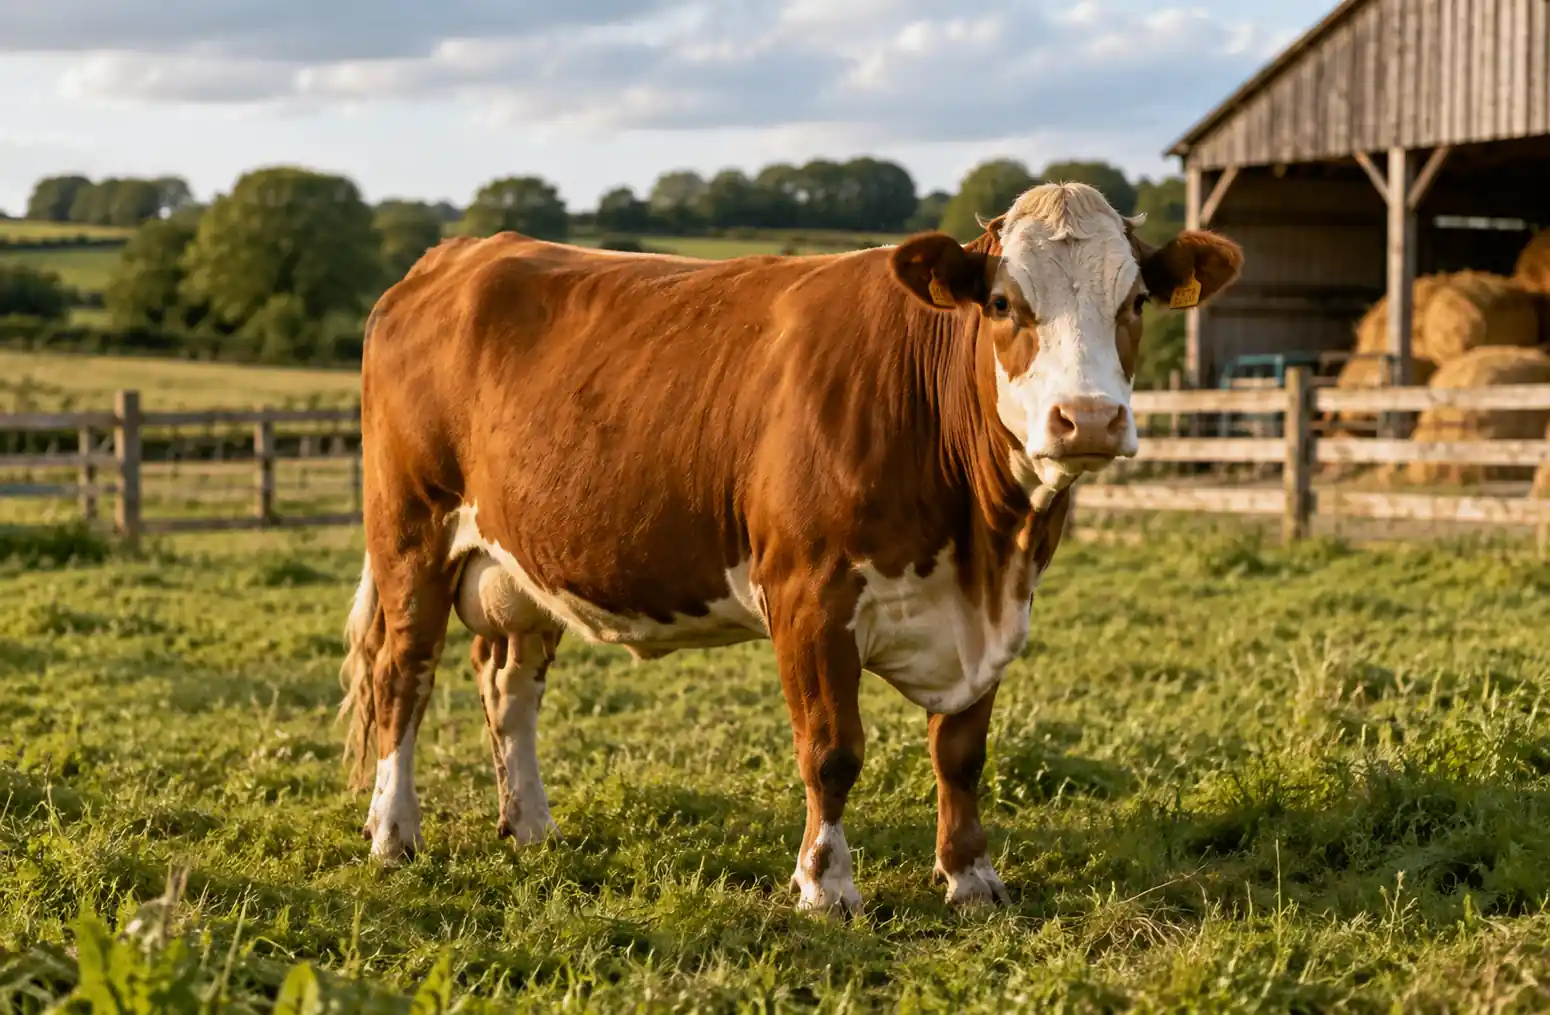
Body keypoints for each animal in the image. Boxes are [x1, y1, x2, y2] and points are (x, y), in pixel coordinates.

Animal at [337, 181, 1242, 915]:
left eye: (1135, 301)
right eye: (1000, 302)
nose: (1087, 419)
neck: (984, 540)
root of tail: (455, 255)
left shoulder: (992, 611)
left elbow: (961, 751)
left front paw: (971, 877)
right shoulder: (809, 594)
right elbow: (832, 751)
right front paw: (826, 884)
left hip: (520, 562)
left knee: (509, 685)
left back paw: (530, 824)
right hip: (411, 533)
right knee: (402, 677)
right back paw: (394, 833)